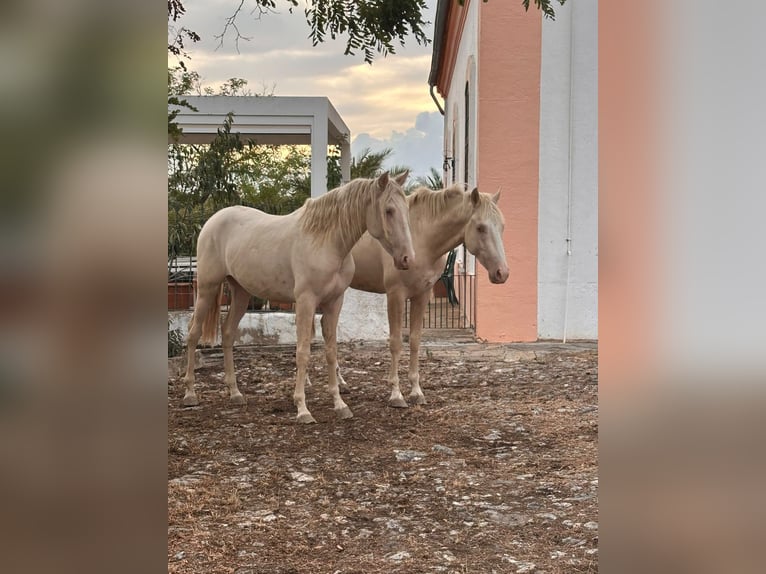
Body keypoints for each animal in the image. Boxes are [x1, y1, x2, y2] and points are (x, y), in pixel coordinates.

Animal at [181, 172, 415, 423]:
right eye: (389, 210)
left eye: (406, 209)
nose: (407, 259)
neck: (326, 241)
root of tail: (212, 220)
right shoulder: (305, 302)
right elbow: (303, 352)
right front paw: (302, 409)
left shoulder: (334, 303)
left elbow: (331, 352)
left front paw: (340, 405)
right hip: (208, 288)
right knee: (193, 333)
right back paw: (190, 393)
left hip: (241, 293)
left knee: (227, 333)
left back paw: (235, 393)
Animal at [335, 184, 508, 407]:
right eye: (480, 227)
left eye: (501, 226)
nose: (502, 273)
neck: (421, 239)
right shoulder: (396, 296)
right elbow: (396, 342)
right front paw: (396, 394)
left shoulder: (422, 295)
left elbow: (415, 341)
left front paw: (416, 392)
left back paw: (339, 383)